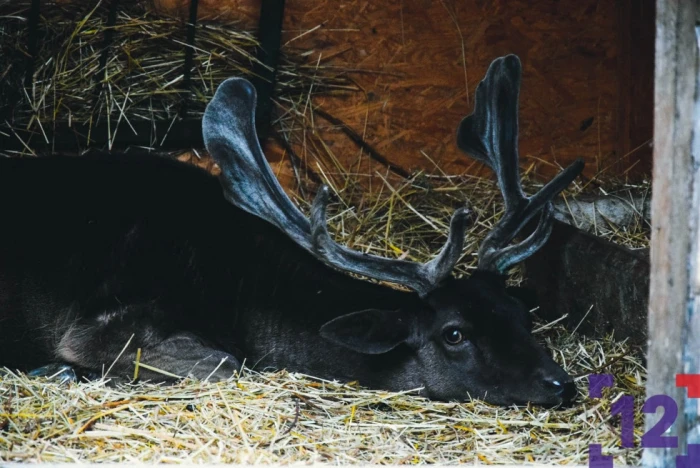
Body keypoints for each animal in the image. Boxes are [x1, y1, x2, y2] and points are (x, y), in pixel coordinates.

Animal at [0, 54, 584, 406]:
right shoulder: (103, 327)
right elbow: (229, 364)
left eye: (520, 314)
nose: (560, 384)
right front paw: (58, 370)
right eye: (454, 333)